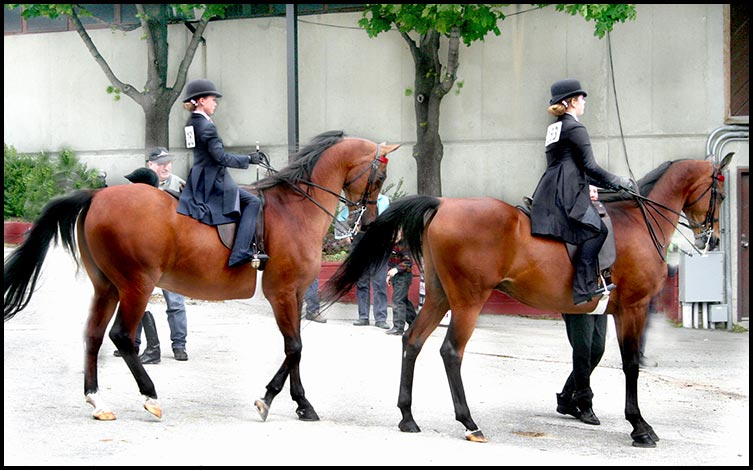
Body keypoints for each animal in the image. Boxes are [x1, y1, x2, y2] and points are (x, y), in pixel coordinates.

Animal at [4, 131, 400, 422]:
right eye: (379, 176)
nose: (367, 222)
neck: (295, 209)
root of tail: (97, 195)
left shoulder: (299, 293)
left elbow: (296, 348)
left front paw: (301, 404)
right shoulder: (283, 291)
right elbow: (295, 347)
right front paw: (270, 399)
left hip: (107, 287)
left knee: (93, 336)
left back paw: (97, 401)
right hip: (137, 285)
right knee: (122, 337)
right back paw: (150, 396)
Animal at [324, 155, 736, 448]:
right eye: (720, 194)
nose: (712, 238)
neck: (639, 222)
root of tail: (443, 203)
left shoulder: (617, 312)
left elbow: (606, 360)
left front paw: (582, 405)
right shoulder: (633, 307)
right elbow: (631, 365)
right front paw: (640, 426)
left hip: (440, 296)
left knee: (413, 341)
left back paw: (408, 416)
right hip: (468, 301)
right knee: (450, 351)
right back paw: (469, 422)